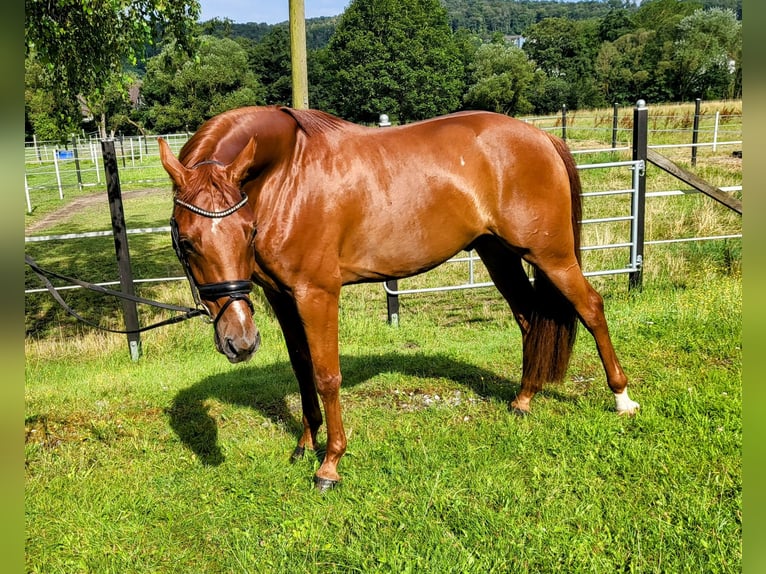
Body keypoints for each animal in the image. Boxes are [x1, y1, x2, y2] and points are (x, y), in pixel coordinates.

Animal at [158, 106, 640, 492]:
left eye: (246, 231)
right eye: (187, 240)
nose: (239, 342)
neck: (288, 174)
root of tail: (542, 137)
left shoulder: (317, 294)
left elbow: (326, 375)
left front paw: (329, 464)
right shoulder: (281, 298)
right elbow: (301, 371)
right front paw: (304, 444)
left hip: (551, 255)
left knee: (591, 308)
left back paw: (622, 399)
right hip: (498, 253)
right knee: (528, 316)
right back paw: (523, 400)